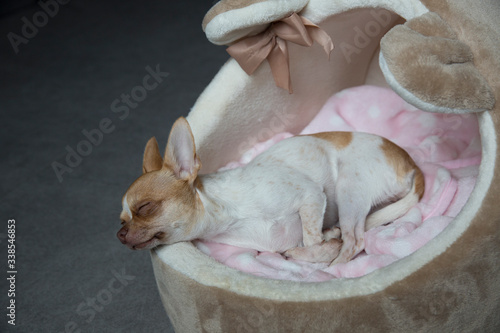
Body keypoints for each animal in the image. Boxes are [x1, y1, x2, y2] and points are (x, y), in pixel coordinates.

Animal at [117, 116, 422, 264]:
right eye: (121, 220)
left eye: (145, 207)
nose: (119, 234)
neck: (228, 214)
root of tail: (411, 163)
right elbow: (312, 239)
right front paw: (326, 238)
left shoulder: (312, 196)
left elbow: (312, 241)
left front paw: (317, 250)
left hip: (350, 189)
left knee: (354, 242)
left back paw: (334, 267)